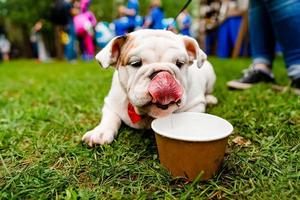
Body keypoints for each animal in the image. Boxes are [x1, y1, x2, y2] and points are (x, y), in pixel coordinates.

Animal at [83, 28, 217, 146]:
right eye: (135, 63)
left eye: (180, 63)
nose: (162, 74)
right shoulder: (111, 103)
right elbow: (110, 118)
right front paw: (100, 132)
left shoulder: (196, 104)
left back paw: (210, 99)